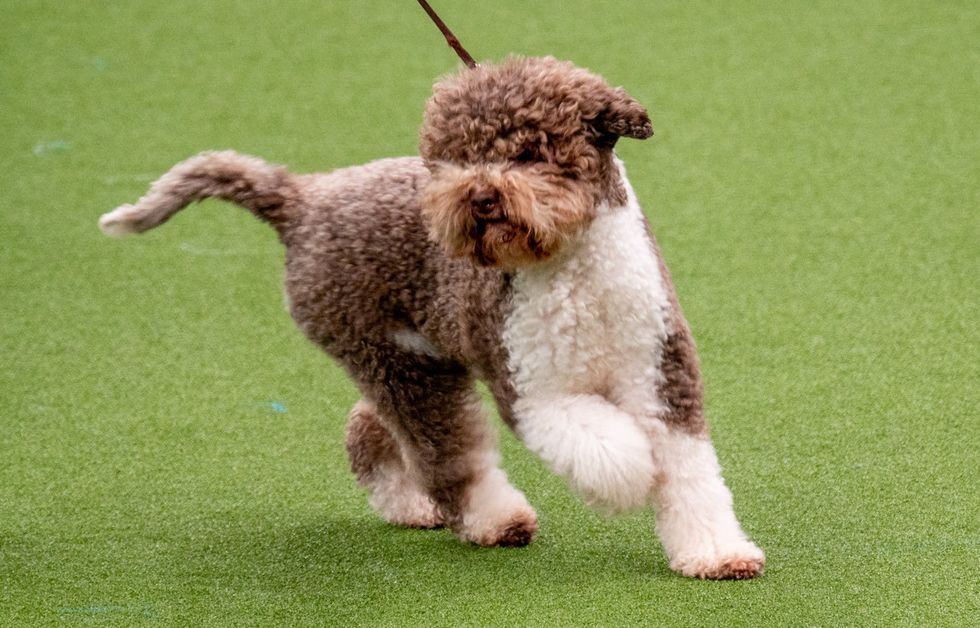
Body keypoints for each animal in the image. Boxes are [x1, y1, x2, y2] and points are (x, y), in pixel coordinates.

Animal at [99, 57, 764, 580]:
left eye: (529, 152)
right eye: (455, 157)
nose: (480, 197)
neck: (572, 270)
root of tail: (303, 199)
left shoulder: (661, 372)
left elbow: (691, 471)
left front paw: (715, 554)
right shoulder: (533, 388)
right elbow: (608, 447)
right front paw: (631, 479)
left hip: (418, 357)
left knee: (374, 427)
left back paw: (407, 505)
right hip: (395, 357)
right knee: (444, 452)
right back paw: (495, 519)